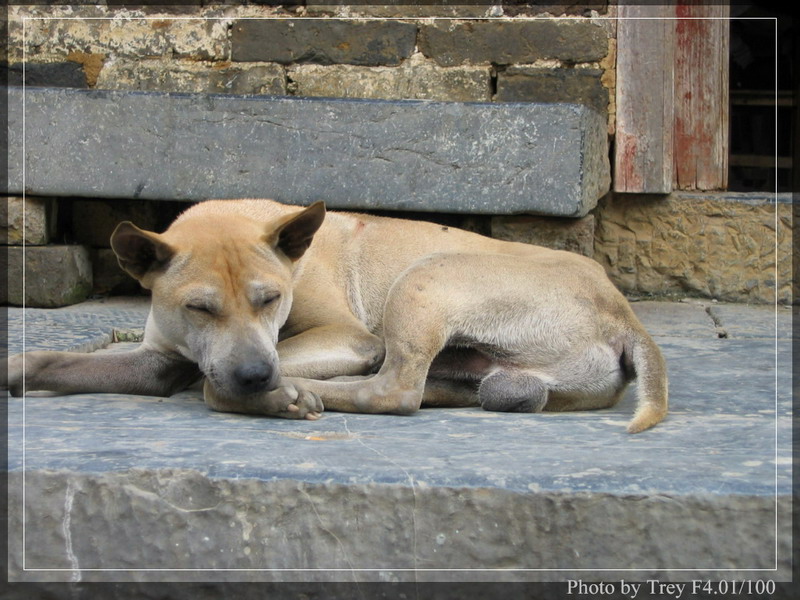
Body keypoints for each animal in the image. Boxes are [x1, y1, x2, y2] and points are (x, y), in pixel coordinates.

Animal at [4, 199, 668, 432]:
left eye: (271, 298)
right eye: (197, 307)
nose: (256, 377)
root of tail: (623, 313)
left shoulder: (346, 337)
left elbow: (222, 382)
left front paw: (278, 392)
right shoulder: (156, 361)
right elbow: (61, 362)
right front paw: (16, 370)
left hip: (424, 279)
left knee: (393, 389)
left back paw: (300, 393)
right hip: (496, 373)